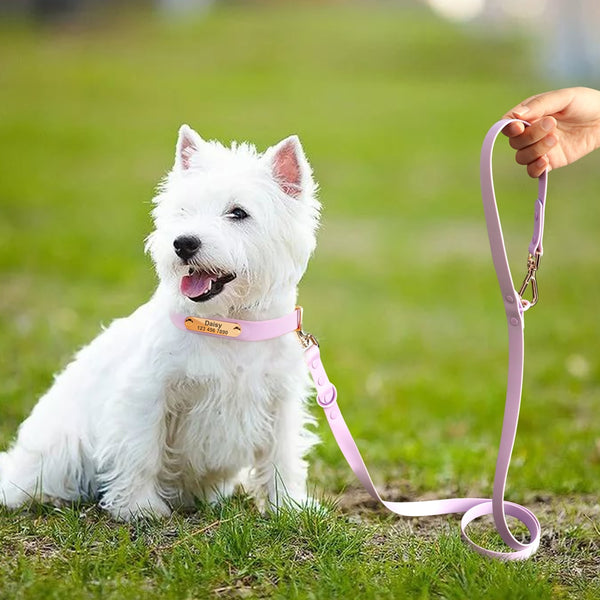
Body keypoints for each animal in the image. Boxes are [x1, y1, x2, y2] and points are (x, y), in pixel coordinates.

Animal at [0, 126, 322, 520]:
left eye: (238, 212)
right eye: (183, 209)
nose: (183, 243)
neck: (230, 324)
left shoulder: (280, 400)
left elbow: (282, 456)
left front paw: (288, 506)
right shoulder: (147, 393)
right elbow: (142, 451)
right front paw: (139, 508)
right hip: (61, 447)